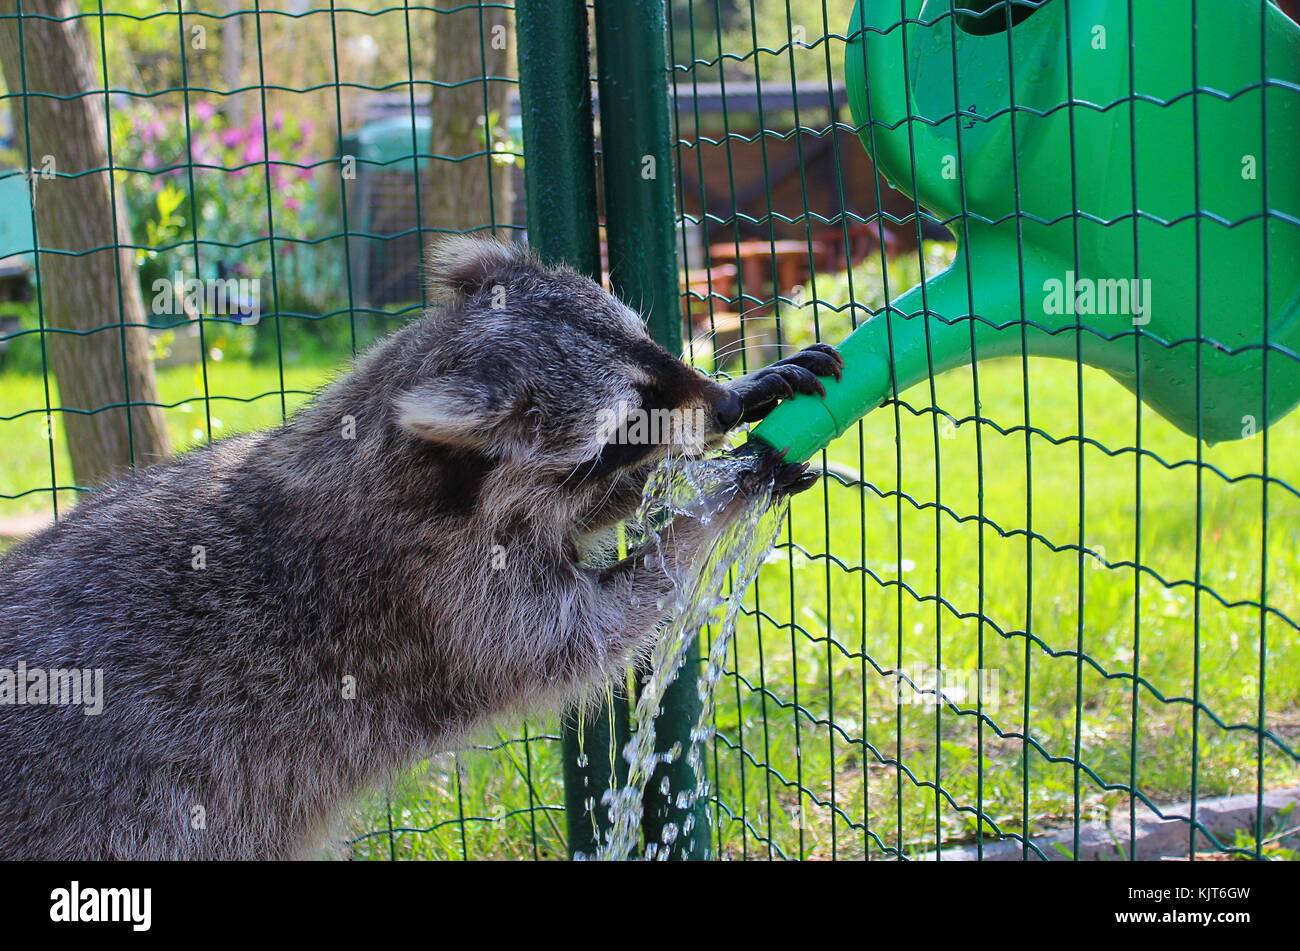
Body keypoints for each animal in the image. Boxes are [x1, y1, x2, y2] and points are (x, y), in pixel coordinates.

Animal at [0, 237, 842, 862]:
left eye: (651, 344)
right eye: (625, 422)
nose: (722, 405)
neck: (387, 452)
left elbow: (584, 517)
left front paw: (742, 400)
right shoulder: (437, 598)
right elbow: (581, 637)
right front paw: (711, 508)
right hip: (131, 815)